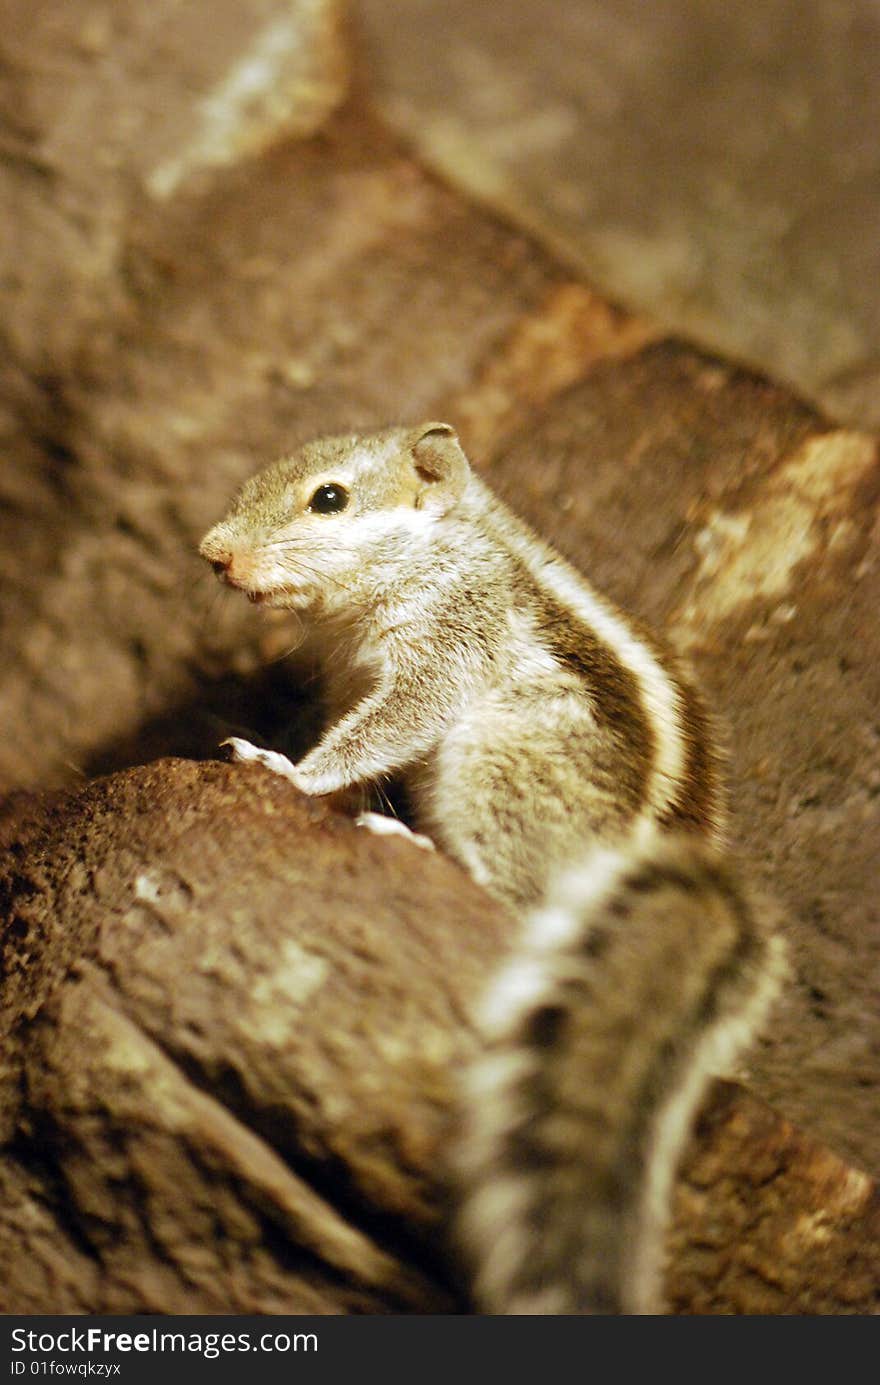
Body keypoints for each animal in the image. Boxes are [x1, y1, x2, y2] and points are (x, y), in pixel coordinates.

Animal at [200, 421, 792, 1318]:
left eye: (329, 498)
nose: (213, 553)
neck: (443, 543)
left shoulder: (445, 649)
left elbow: (380, 732)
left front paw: (290, 771)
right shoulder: (351, 675)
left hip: (490, 760)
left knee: (513, 901)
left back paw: (414, 842)